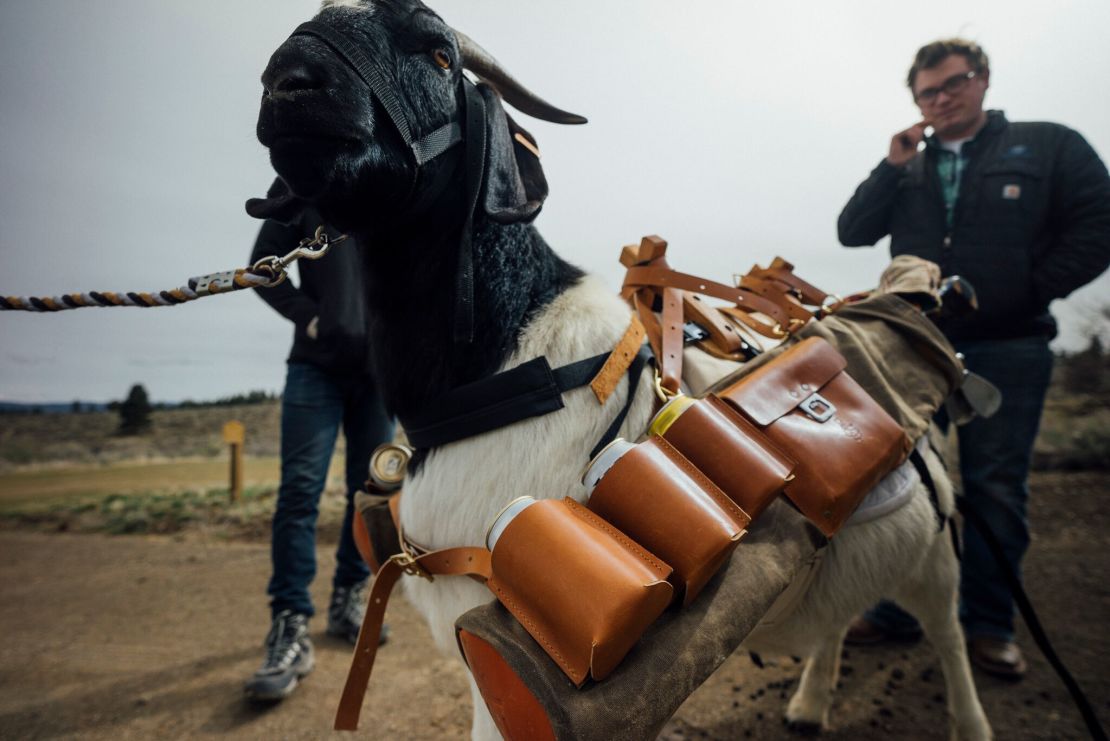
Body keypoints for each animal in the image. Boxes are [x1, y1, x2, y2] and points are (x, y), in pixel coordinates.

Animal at [247, 2, 994, 736]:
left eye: (439, 53)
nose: (289, 83)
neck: (504, 372)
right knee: (840, 613)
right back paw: (810, 703)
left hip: (937, 551)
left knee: (949, 631)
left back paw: (969, 720)